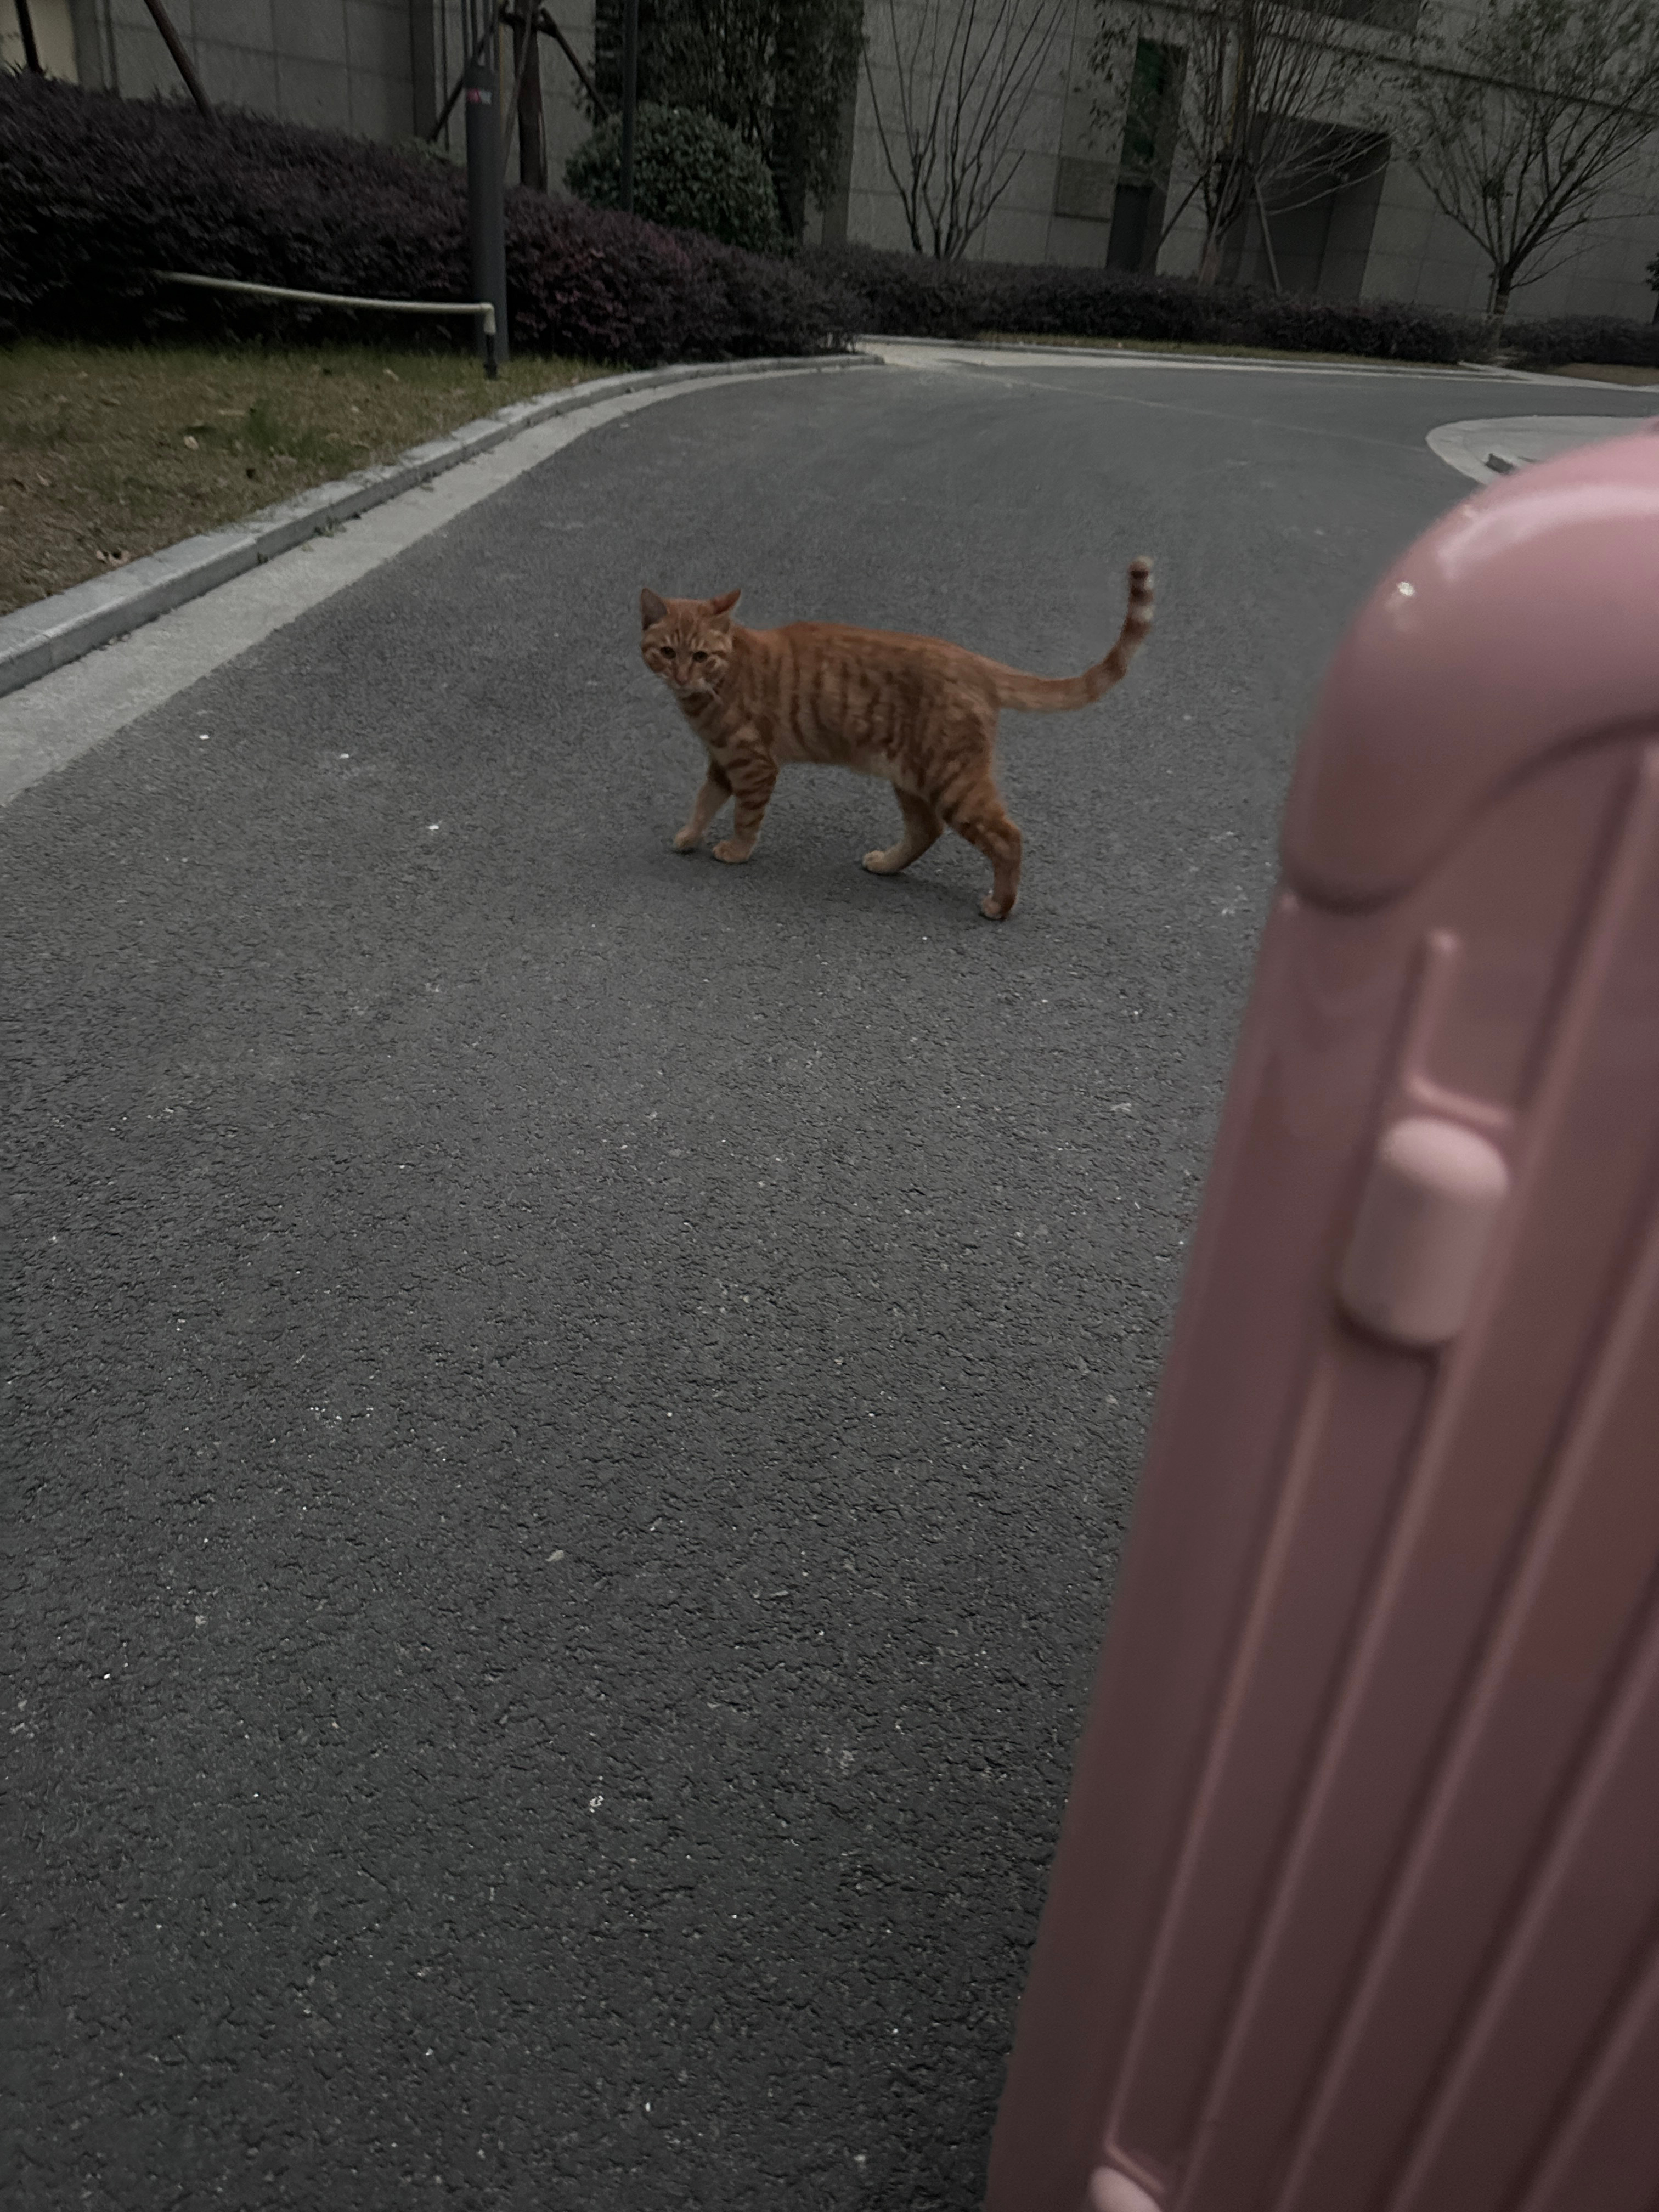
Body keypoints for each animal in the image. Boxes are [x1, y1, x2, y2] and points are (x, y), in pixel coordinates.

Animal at [646, 562, 1159, 924]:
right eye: (667, 652)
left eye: (701, 655)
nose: (682, 675)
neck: (718, 683)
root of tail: (973, 660)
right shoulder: (720, 762)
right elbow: (704, 801)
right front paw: (689, 836)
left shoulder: (753, 764)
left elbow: (745, 817)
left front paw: (736, 851)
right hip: (912, 776)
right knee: (926, 830)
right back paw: (888, 864)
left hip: (952, 781)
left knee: (1007, 836)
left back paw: (1001, 905)